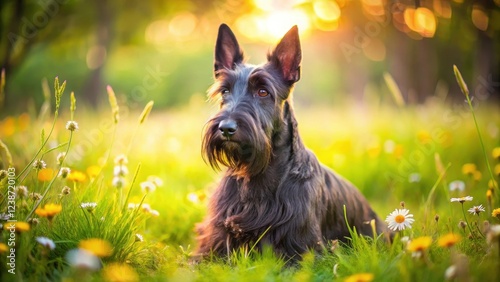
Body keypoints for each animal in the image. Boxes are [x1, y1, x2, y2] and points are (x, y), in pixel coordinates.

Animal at [195, 24, 386, 262]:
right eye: (225, 91)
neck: (257, 173)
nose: (226, 128)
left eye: (263, 92)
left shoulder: (301, 248)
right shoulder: (215, 243)